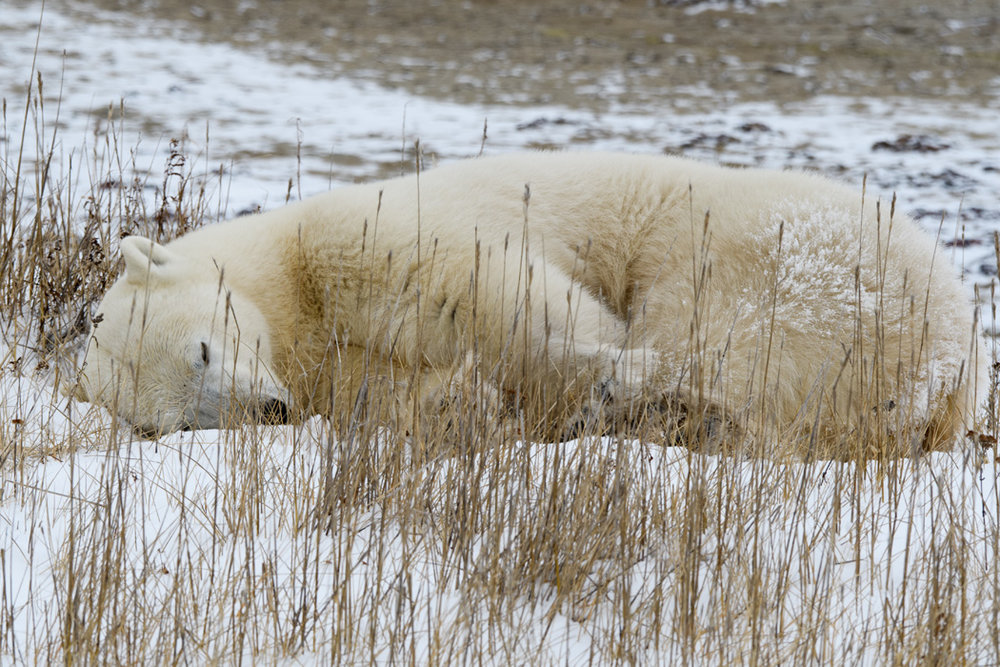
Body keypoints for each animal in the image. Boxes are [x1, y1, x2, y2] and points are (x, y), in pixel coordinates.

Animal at [74, 151, 984, 458]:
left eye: (201, 347)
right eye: (183, 421)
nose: (270, 408)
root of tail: (959, 360)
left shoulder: (352, 238)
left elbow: (488, 292)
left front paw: (606, 365)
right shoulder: (340, 372)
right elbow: (407, 396)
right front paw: (474, 408)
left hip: (773, 256)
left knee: (719, 331)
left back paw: (651, 397)